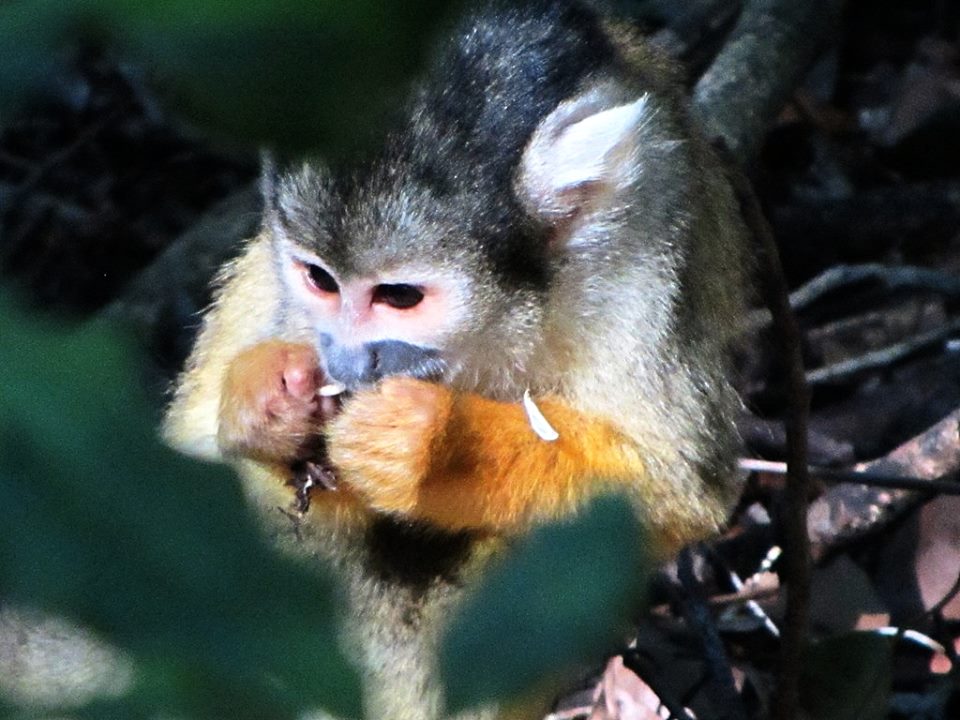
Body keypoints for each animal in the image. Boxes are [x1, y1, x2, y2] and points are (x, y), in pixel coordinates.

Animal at [162, 1, 748, 718]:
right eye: (320, 280)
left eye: (399, 297)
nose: (347, 364)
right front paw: (271, 404)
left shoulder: (641, 251)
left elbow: (676, 489)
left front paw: (431, 446)